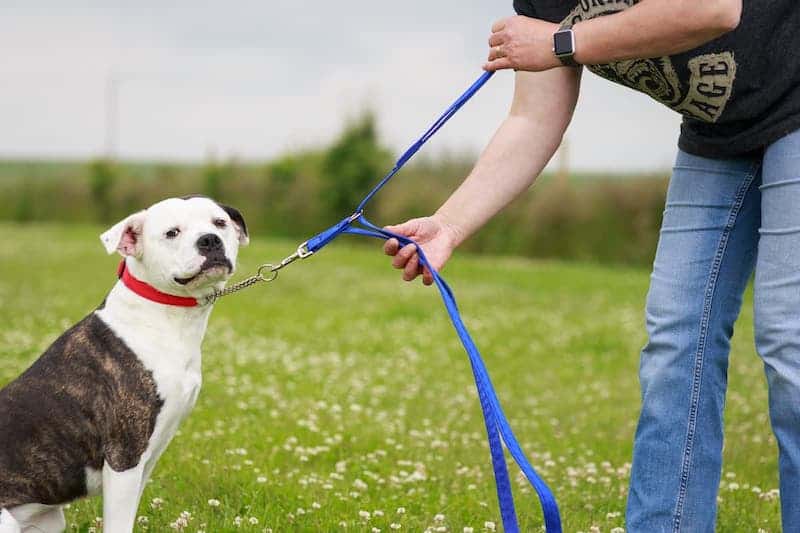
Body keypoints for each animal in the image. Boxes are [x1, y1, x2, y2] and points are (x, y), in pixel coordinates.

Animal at [0, 196, 248, 532]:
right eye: (172, 232)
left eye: (219, 223)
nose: (209, 240)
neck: (166, 314)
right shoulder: (124, 457)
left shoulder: (146, 460)